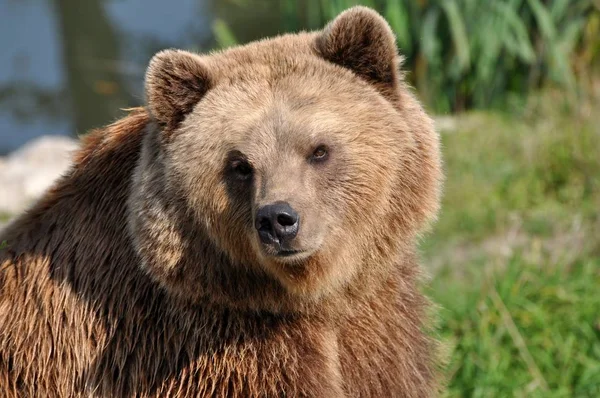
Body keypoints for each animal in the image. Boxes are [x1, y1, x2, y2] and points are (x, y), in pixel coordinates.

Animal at [0, 7, 440, 398]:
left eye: (319, 150)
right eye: (240, 165)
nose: (277, 220)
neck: (311, 295)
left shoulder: (372, 321)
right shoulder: (197, 346)